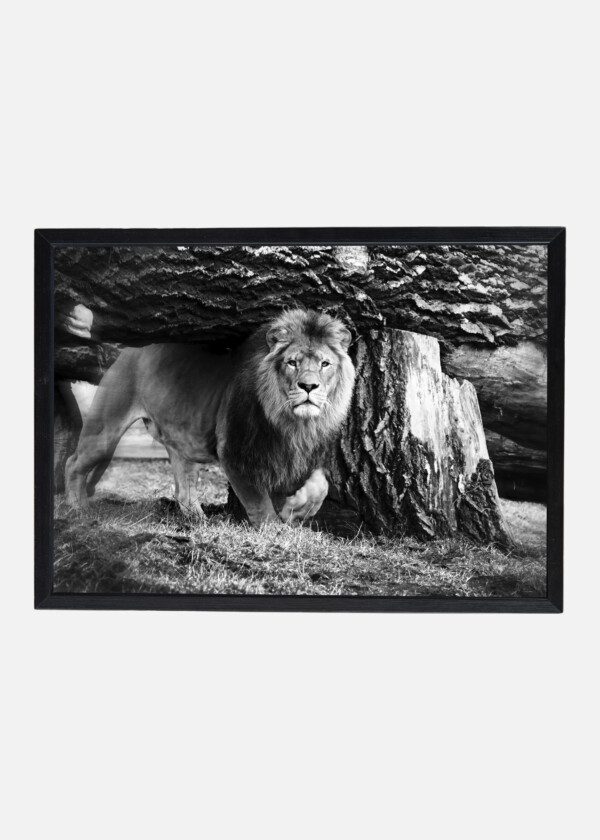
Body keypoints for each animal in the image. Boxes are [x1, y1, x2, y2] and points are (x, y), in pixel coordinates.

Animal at [65, 309, 356, 526]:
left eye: (325, 364)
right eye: (292, 363)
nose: (309, 386)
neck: (290, 421)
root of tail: (128, 348)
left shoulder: (302, 453)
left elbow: (321, 484)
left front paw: (293, 511)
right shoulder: (234, 452)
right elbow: (259, 503)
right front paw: (274, 528)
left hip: (184, 442)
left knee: (183, 489)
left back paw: (198, 520)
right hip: (104, 429)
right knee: (73, 463)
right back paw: (77, 508)